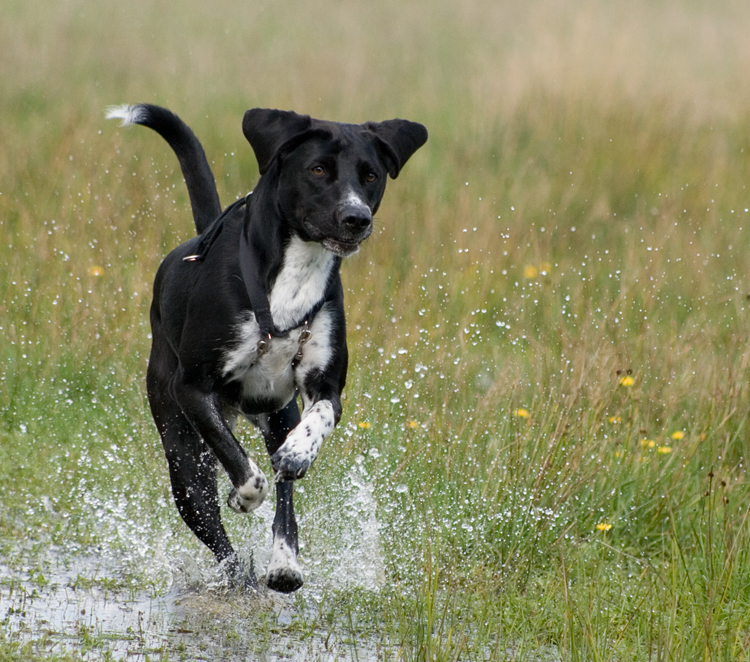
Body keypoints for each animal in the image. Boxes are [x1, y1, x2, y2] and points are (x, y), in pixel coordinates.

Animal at [107, 105, 428, 596]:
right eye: (318, 170)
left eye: (371, 175)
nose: (356, 218)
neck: (296, 271)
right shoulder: (192, 389)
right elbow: (244, 467)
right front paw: (243, 495)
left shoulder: (323, 385)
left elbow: (318, 423)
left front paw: (299, 453)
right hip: (182, 459)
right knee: (216, 528)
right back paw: (238, 574)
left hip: (277, 416)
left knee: (285, 502)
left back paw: (283, 563)